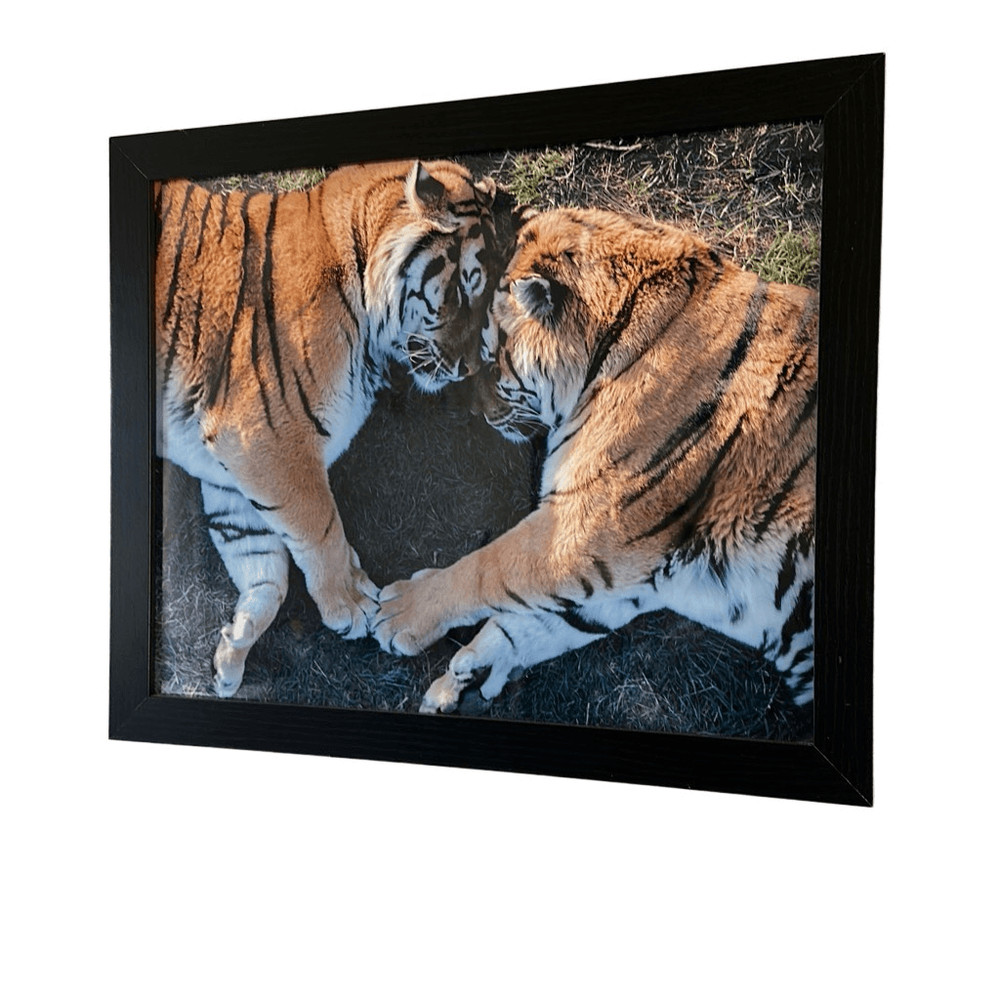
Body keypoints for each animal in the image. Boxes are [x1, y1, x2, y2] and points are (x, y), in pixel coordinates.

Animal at [156, 159, 498, 697]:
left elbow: (265, 571)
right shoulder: (265, 439)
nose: (470, 367)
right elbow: (321, 529)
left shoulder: (229, 469)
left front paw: (232, 653)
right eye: (464, 289)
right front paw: (351, 603)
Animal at [373, 206, 817, 715]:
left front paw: (401, 611)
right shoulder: (633, 576)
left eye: (489, 359)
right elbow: (532, 623)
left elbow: (487, 570)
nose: (472, 411)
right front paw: (468, 677)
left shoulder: (587, 526)